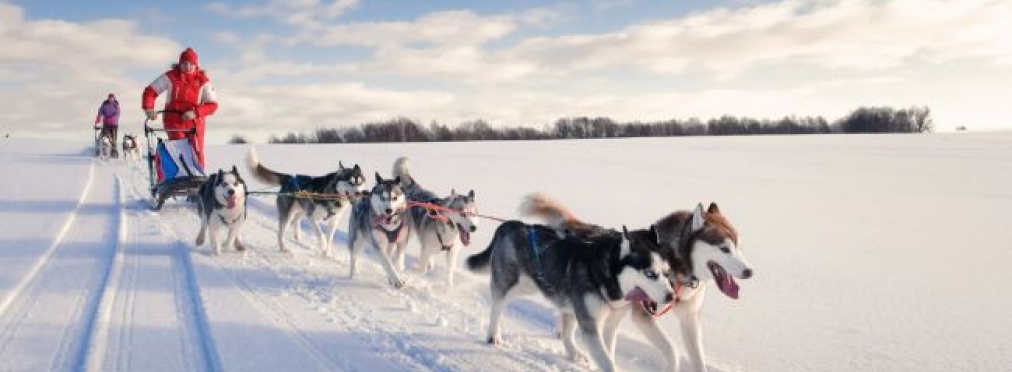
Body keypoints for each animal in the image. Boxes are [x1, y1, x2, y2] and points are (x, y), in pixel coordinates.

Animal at [390, 156, 477, 285]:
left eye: (473, 214)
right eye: (462, 213)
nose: (474, 228)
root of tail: (415, 188)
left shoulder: (451, 253)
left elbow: (449, 273)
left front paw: (448, 287)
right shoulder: (426, 249)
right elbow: (422, 269)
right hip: (408, 232)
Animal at [467, 218, 676, 372]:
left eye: (667, 273)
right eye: (650, 274)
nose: (671, 297)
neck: (607, 276)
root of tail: (511, 224)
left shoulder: (610, 323)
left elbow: (608, 353)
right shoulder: (590, 323)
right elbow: (607, 361)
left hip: (561, 299)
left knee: (567, 333)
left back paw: (574, 353)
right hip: (514, 285)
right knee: (497, 306)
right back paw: (493, 335)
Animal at [526, 193, 756, 372]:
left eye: (739, 246)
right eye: (724, 249)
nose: (749, 271)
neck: (677, 263)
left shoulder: (690, 318)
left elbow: (698, 359)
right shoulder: (643, 315)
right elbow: (673, 351)